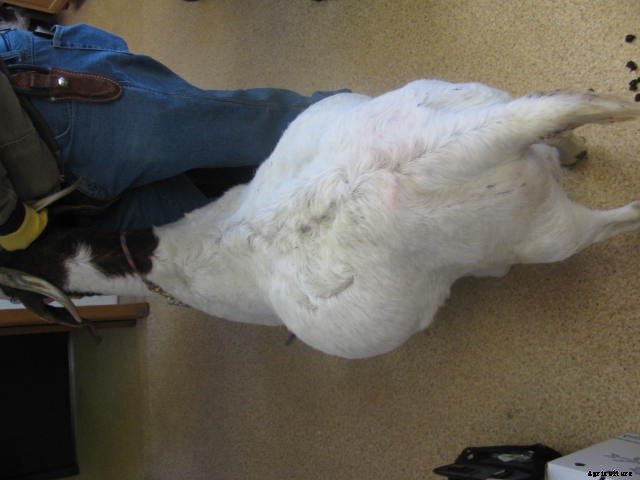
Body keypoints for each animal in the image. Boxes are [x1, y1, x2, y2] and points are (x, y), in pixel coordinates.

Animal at [1, 79, 639, 359]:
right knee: (564, 116)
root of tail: (452, 145)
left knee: (614, 218)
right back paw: (578, 138)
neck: (172, 255)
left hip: (540, 236)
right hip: (477, 104)